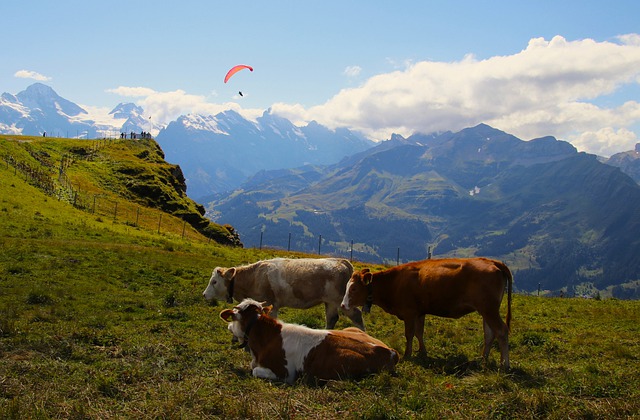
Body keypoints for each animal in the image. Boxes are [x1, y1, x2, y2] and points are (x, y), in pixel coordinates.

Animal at [202, 256, 362, 332]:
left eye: (214, 282)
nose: (204, 294)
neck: (254, 277)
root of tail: (342, 261)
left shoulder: (269, 303)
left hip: (341, 300)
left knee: (356, 315)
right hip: (329, 302)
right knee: (331, 318)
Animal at [340, 258, 516, 370]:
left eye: (353, 288)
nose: (342, 305)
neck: (394, 282)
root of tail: (492, 261)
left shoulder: (409, 312)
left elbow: (410, 334)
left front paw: (408, 354)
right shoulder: (420, 312)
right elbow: (419, 332)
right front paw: (422, 352)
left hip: (489, 309)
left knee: (501, 331)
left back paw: (504, 364)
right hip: (486, 310)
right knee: (490, 334)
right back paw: (483, 359)